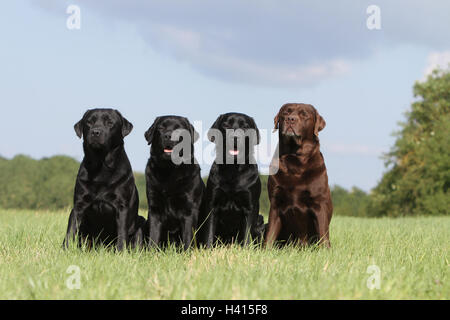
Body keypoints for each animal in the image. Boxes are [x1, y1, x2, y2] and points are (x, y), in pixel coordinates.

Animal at [62, 109, 143, 251]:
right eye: (89, 122)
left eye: (110, 122)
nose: (95, 132)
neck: (101, 166)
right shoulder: (78, 205)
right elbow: (70, 230)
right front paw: (65, 250)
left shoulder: (122, 207)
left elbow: (122, 233)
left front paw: (121, 252)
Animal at [144, 115, 204, 250]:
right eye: (161, 128)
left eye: (179, 129)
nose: (168, 136)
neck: (169, 170)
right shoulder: (154, 209)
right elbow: (153, 236)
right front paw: (150, 253)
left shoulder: (189, 209)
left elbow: (188, 237)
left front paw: (187, 253)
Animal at [200, 113, 264, 248]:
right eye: (225, 125)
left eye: (245, 126)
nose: (234, 137)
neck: (232, 170)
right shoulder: (212, 205)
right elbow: (209, 233)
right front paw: (208, 249)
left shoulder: (249, 207)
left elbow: (246, 235)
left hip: (260, 220)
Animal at [264, 102, 334, 248]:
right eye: (285, 112)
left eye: (304, 114)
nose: (290, 119)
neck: (294, 160)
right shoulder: (275, 204)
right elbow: (270, 235)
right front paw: (265, 250)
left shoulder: (319, 204)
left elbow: (323, 235)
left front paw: (326, 251)